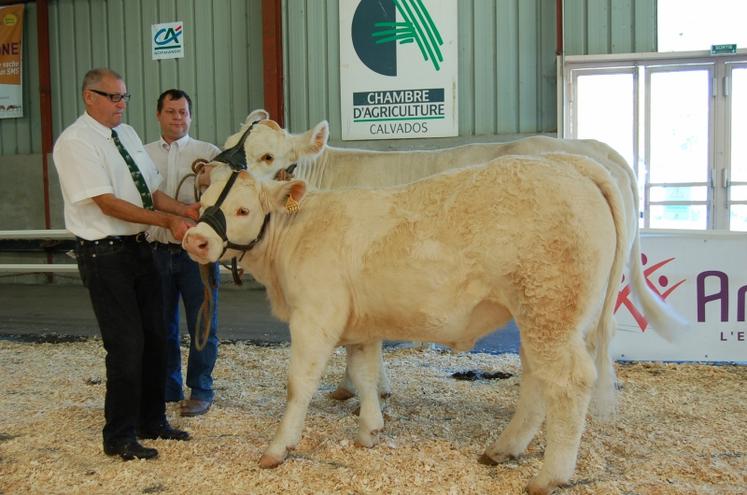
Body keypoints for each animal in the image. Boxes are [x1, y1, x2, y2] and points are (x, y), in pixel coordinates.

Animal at [181, 153, 684, 494]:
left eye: (243, 210)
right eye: (201, 203)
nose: (195, 240)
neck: (295, 235)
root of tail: (569, 163)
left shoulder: (314, 316)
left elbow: (298, 384)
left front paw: (278, 448)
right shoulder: (361, 325)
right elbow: (364, 374)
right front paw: (370, 431)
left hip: (550, 309)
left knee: (570, 381)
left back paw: (549, 476)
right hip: (543, 317)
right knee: (539, 381)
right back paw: (503, 449)